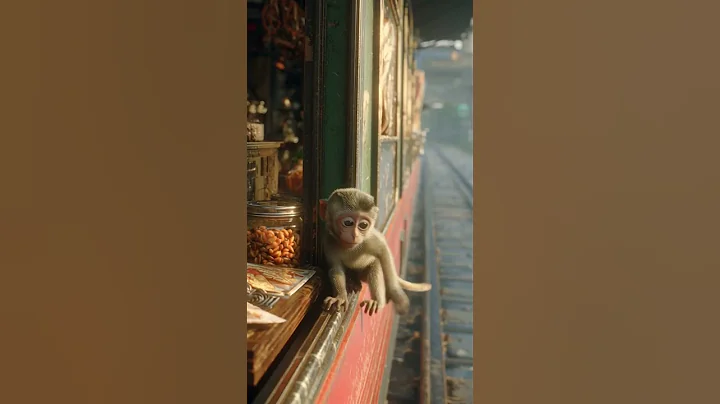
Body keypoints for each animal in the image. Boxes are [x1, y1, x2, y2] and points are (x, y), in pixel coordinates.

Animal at [319, 188, 431, 317]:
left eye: (363, 225)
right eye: (348, 222)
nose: (355, 235)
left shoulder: (370, 240)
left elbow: (384, 253)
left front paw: (396, 296)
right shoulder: (328, 241)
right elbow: (336, 269)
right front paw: (340, 297)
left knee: (376, 264)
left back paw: (377, 301)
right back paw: (352, 281)